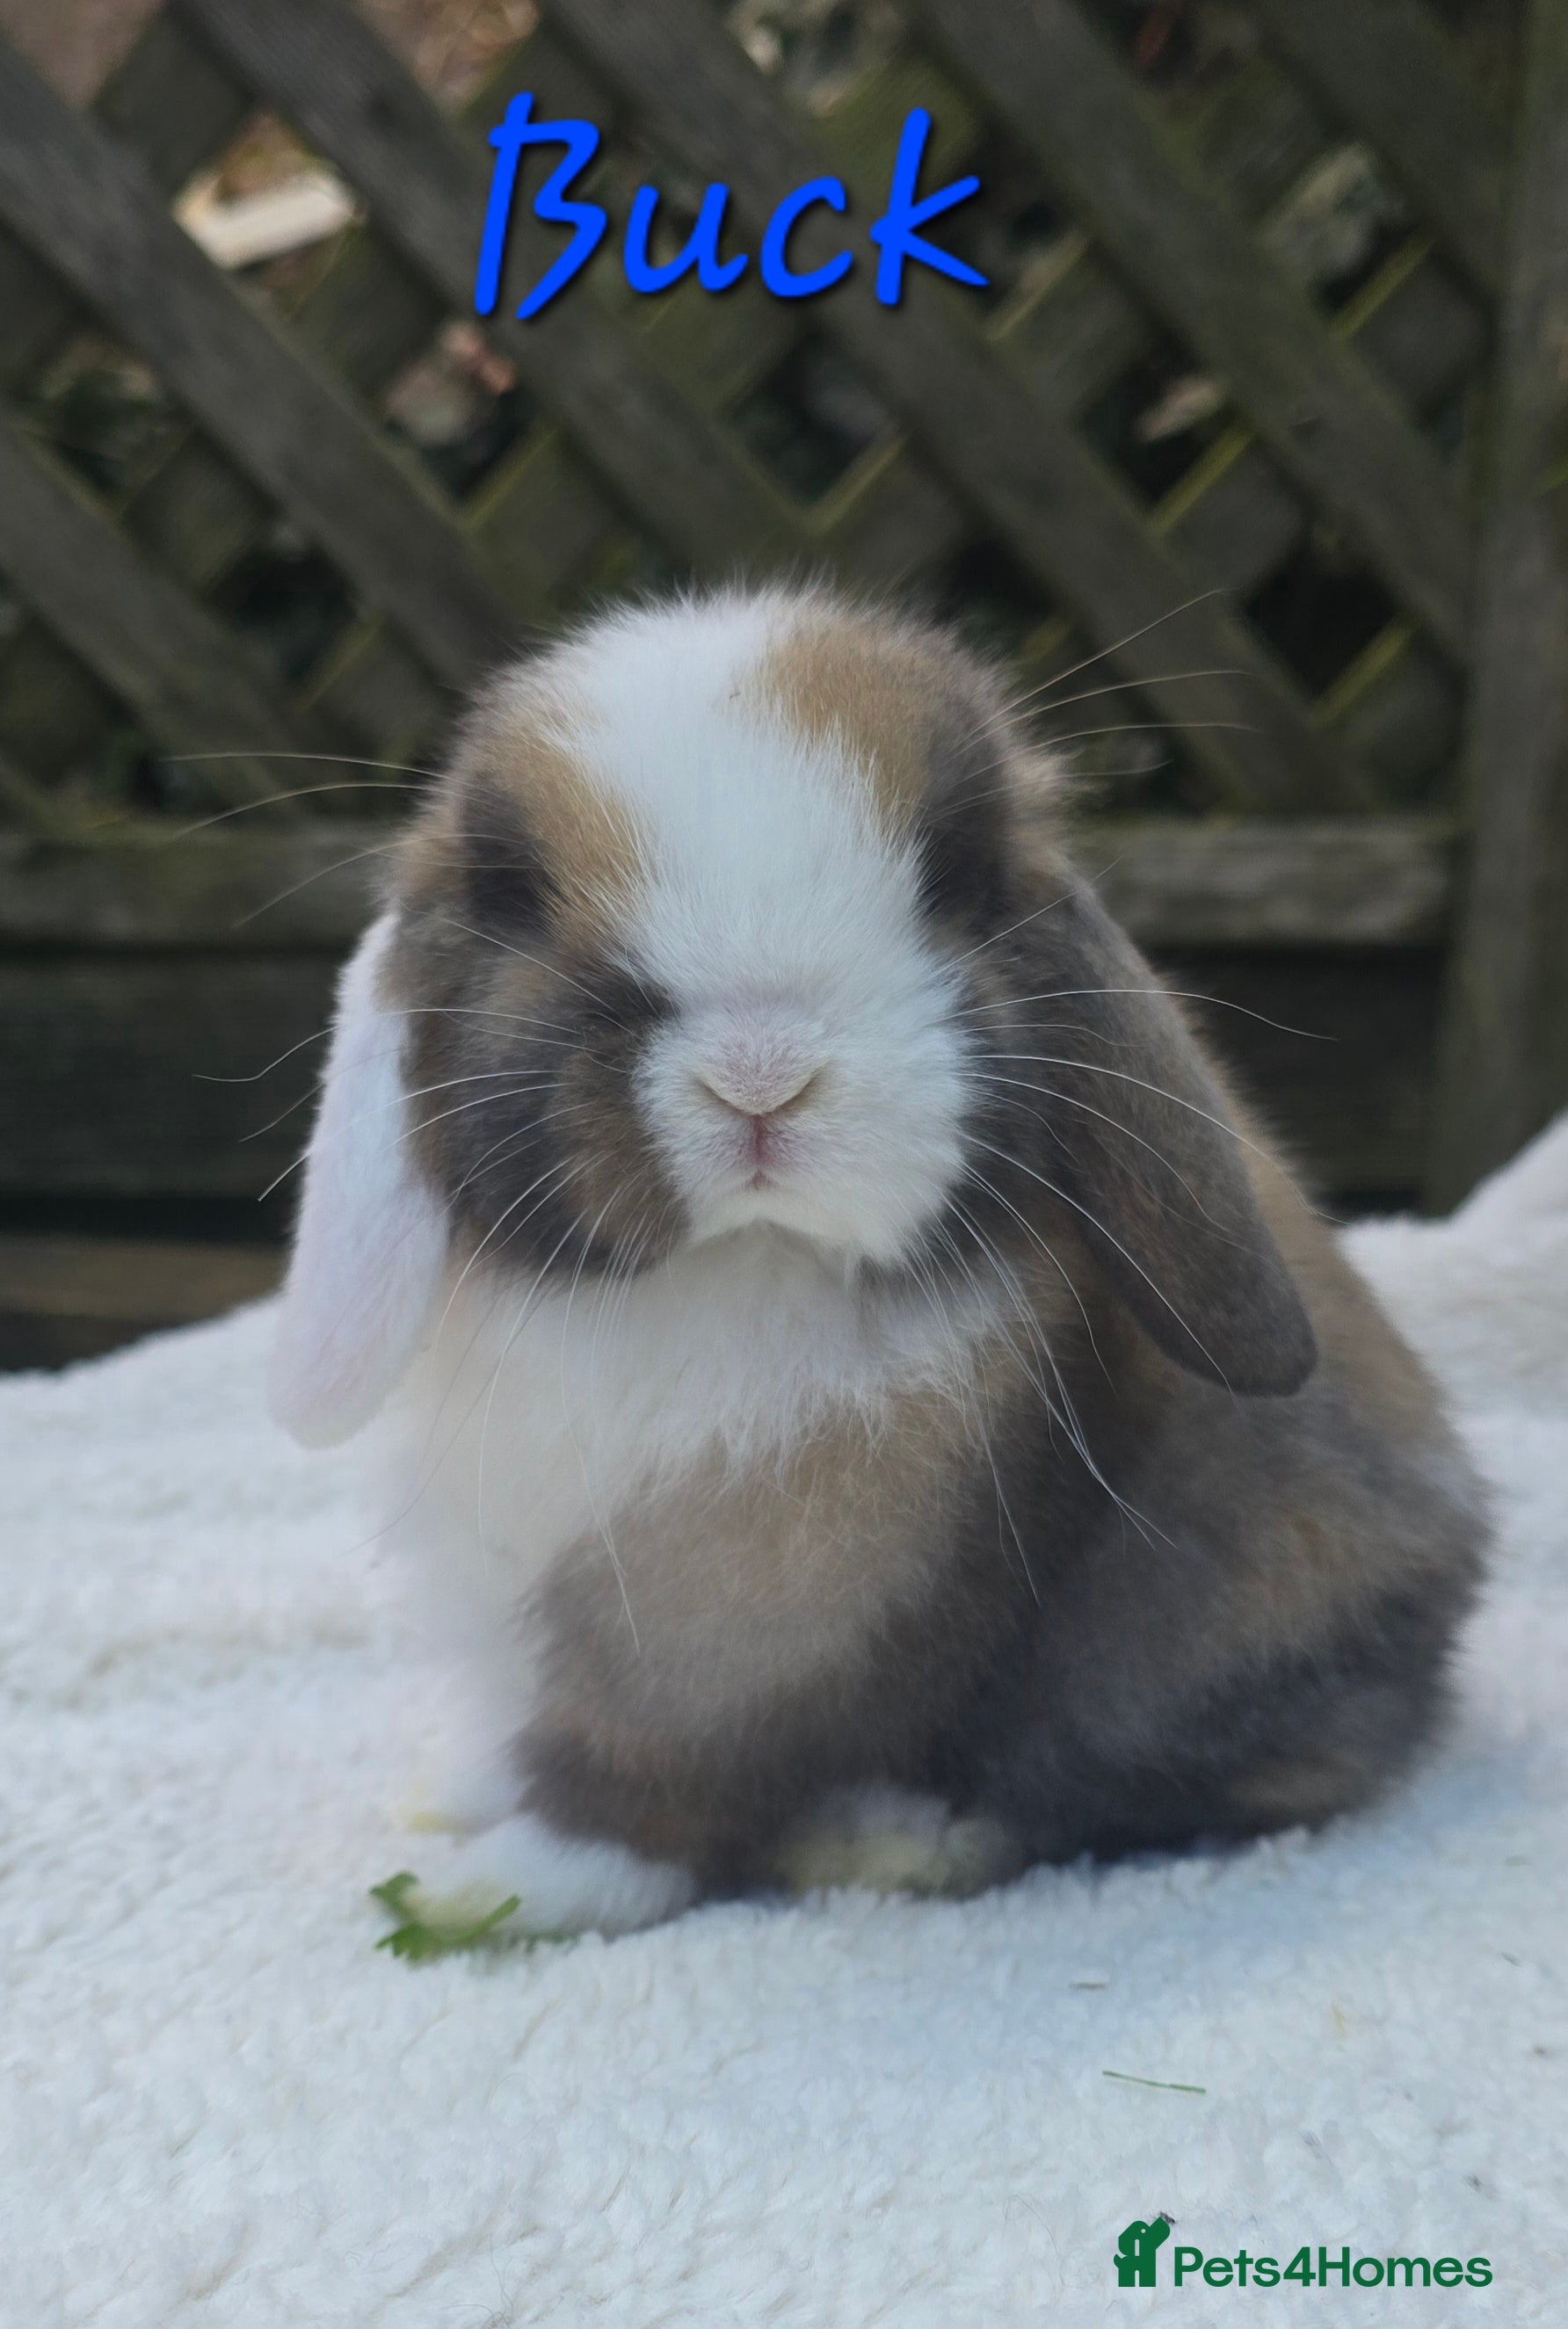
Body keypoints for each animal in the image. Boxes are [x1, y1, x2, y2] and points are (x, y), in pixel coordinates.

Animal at [271, 585, 1487, 1939]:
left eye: (952, 871)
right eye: (513, 889)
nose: (761, 1076)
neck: (734, 1271)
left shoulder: (731, 1640)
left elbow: (644, 1783)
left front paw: (493, 1891)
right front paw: (457, 1792)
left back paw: (890, 1838)